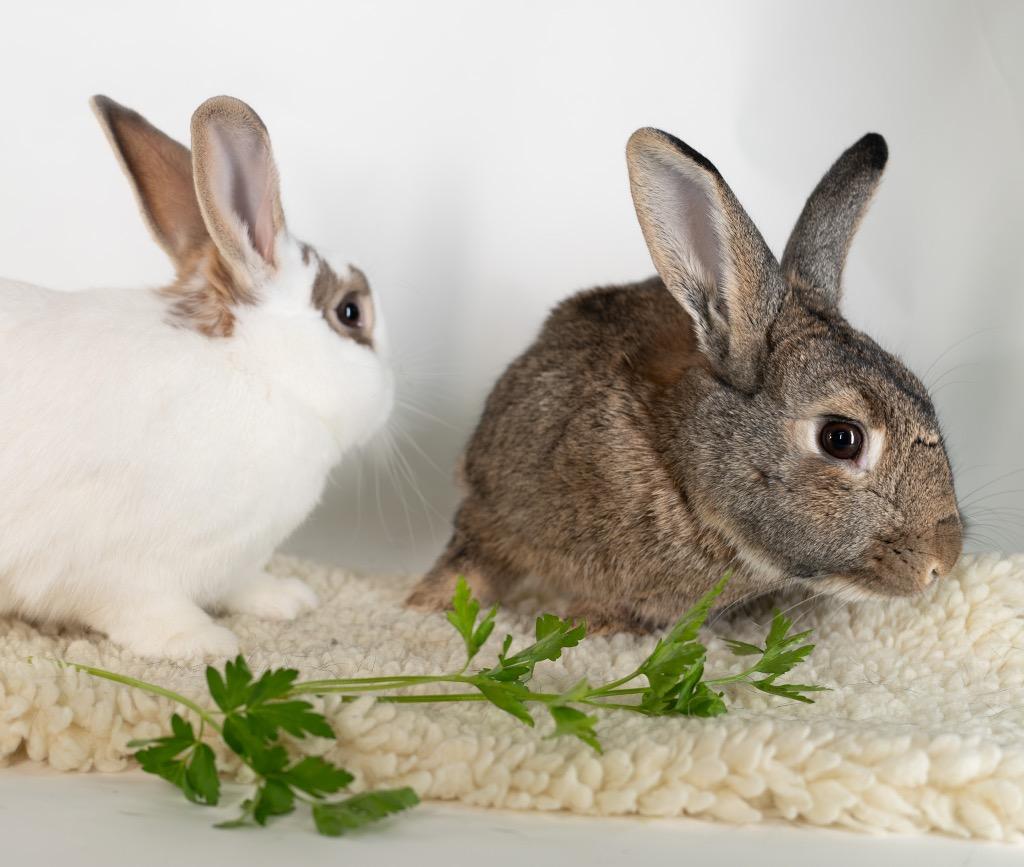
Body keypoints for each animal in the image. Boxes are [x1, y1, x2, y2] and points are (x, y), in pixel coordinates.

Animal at [0, 95, 393, 659]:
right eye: (350, 313)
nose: (391, 395)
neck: (255, 369)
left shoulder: (237, 559)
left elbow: (243, 583)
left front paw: (288, 599)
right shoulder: (124, 571)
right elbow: (147, 611)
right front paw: (206, 644)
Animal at [407, 128, 963, 632]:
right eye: (841, 439)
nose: (945, 559)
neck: (683, 472)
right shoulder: (491, 505)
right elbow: (471, 561)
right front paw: (423, 605)